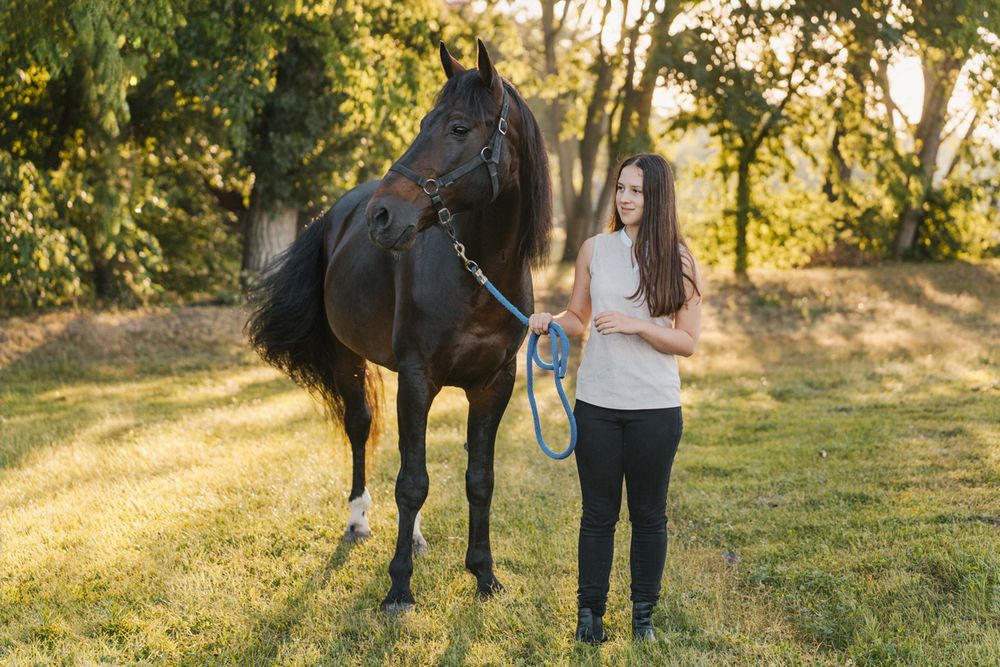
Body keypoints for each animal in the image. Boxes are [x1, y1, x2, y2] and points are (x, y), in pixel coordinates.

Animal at [246, 39, 552, 613]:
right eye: (423, 122)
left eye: (458, 128)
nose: (382, 216)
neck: (478, 276)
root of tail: (337, 212)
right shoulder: (416, 378)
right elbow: (411, 483)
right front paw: (399, 589)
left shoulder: (493, 384)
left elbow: (479, 480)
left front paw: (484, 576)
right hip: (349, 359)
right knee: (361, 427)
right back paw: (359, 521)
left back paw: (414, 536)